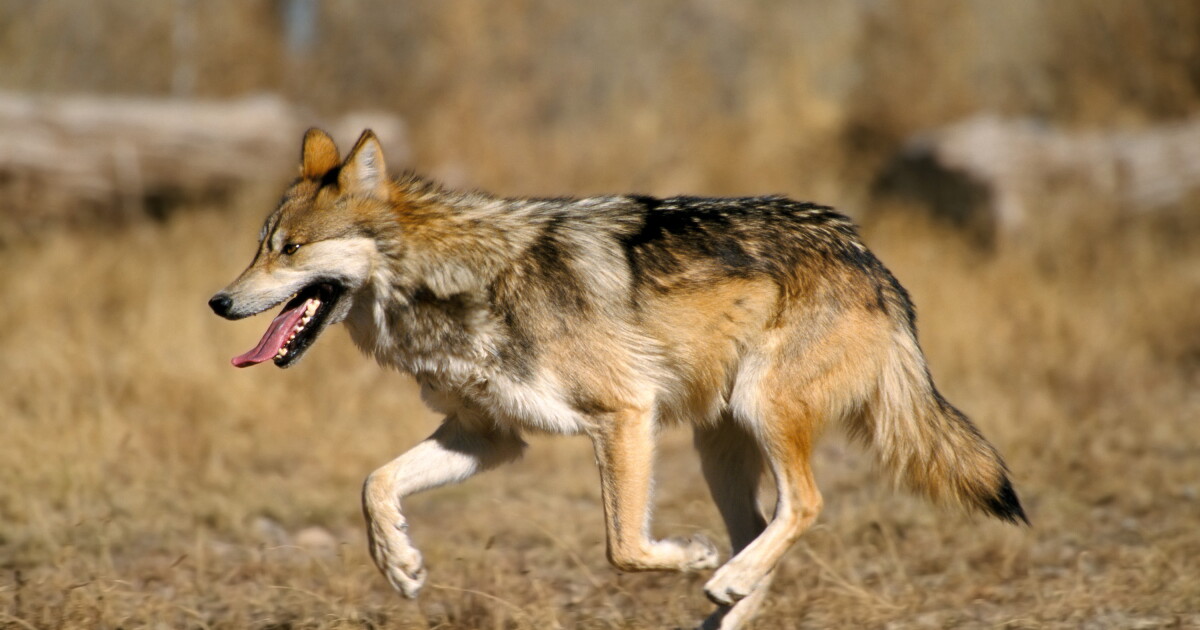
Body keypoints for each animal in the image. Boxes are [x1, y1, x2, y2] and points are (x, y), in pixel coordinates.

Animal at [209, 128, 1027, 630]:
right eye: (259, 246)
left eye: (289, 249)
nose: (218, 301)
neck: (457, 281)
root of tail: (870, 258)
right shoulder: (488, 438)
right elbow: (374, 484)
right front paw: (401, 567)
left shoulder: (624, 415)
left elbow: (624, 547)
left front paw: (689, 556)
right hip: (718, 445)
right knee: (765, 528)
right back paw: (729, 599)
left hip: (760, 411)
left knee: (806, 506)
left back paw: (723, 579)